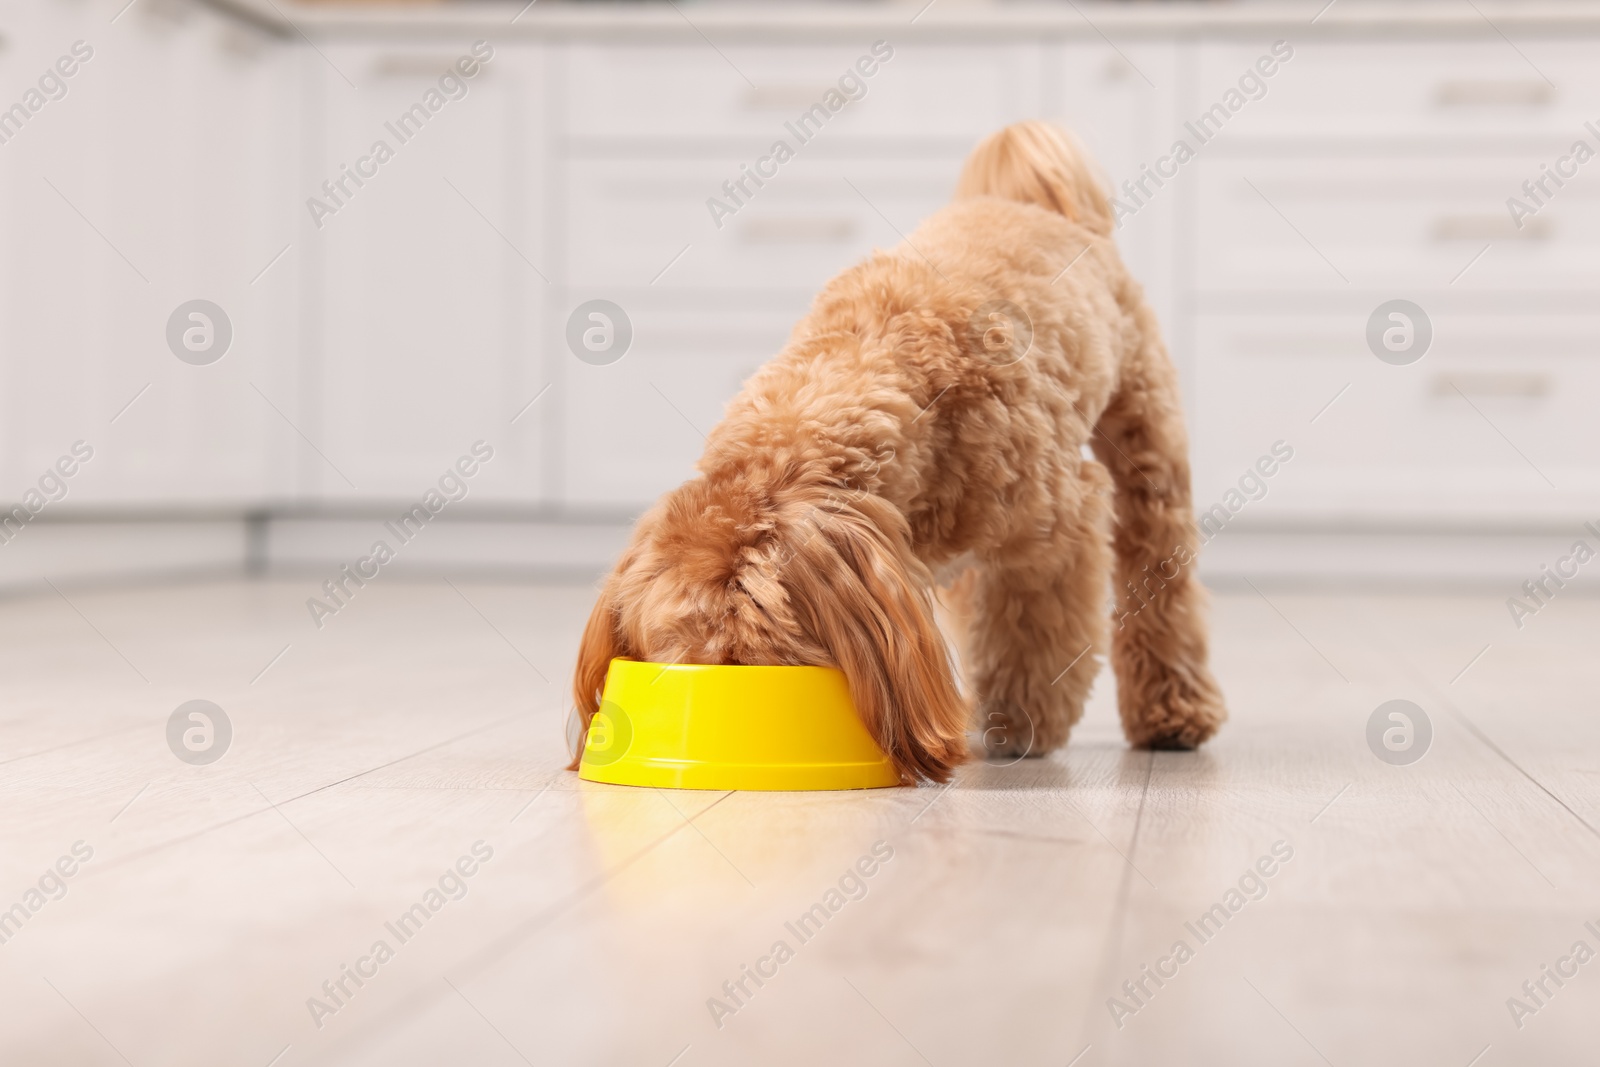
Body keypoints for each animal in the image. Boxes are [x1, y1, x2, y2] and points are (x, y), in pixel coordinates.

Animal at [572, 123, 1222, 783]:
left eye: (757, 647)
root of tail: (1039, 206)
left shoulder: (1058, 532)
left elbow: (1034, 633)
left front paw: (1021, 719)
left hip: (1146, 433)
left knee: (1160, 572)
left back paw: (1173, 710)